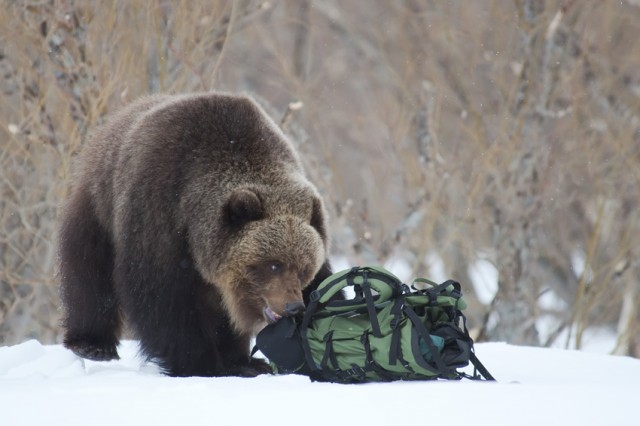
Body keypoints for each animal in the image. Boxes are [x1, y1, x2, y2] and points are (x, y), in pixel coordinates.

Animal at [57, 92, 338, 376]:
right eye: (273, 264)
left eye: (304, 268)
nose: (293, 306)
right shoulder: (158, 217)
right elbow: (164, 300)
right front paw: (199, 363)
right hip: (99, 208)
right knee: (89, 274)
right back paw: (92, 344)